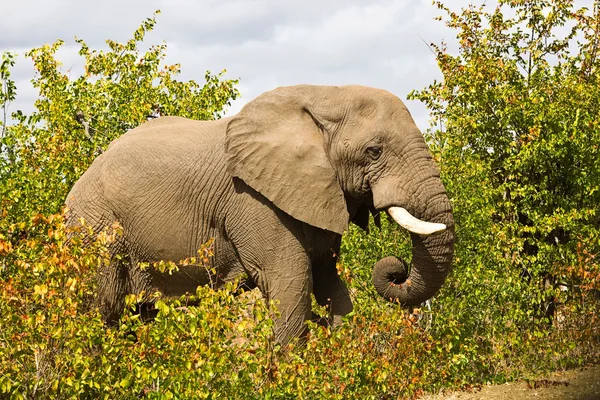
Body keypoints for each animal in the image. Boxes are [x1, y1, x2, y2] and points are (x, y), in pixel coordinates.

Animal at [64, 84, 454, 344]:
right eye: (374, 151)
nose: (395, 269)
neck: (323, 96)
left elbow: (331, 284)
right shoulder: (255, 201)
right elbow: (290, 284)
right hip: (96, 228)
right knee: (102, 307)